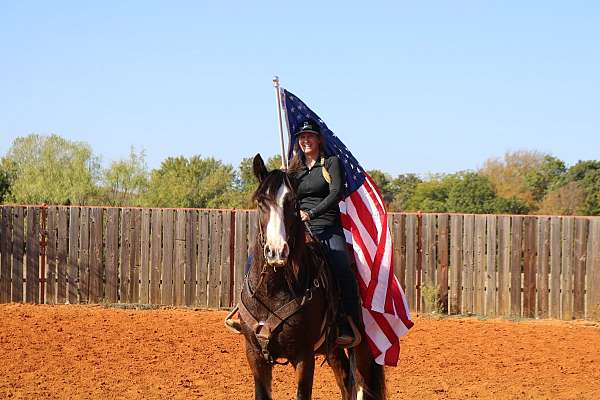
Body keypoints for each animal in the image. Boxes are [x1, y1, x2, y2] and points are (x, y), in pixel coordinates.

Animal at [232, 154, 386, 400]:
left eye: (294, 203)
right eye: (261, 202)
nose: (277, 251)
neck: (274, 292)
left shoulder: (303, 356)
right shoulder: (254, 354)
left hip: (363, 345)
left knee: (361, 384)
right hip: (333, 348)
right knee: (346, 381)